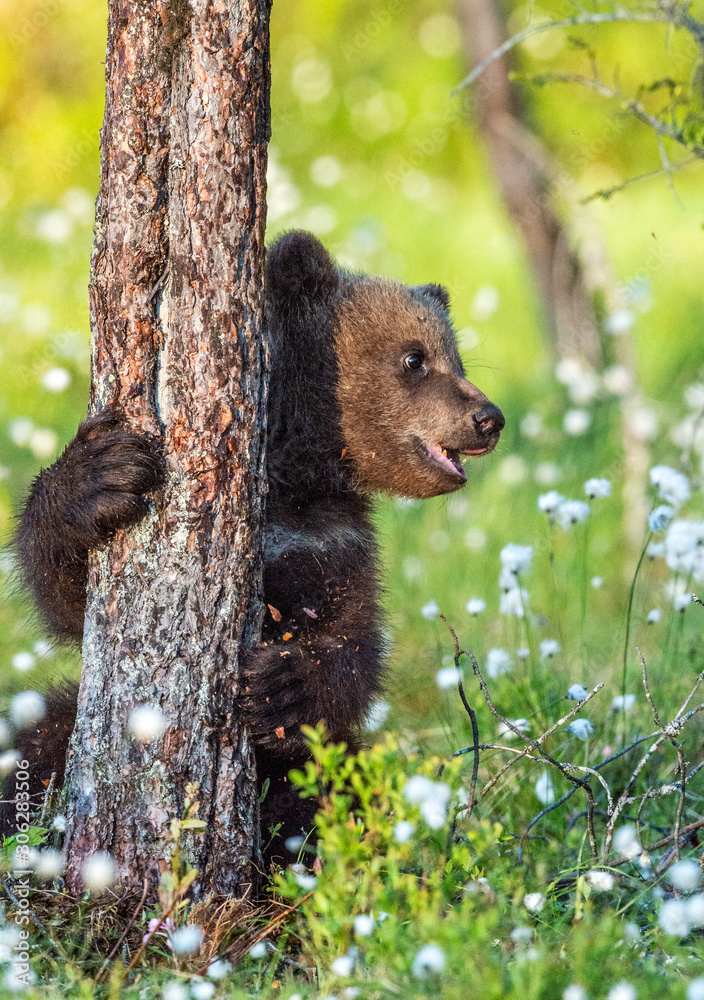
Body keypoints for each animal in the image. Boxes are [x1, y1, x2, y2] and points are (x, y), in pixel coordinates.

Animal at [6, 231, 504, 865]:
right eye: (415, 358)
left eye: (456, 356)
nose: (488, 417)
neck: (294, 473)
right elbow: (70, 597)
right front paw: (100, 474)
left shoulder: (332, 541)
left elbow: (354, 643)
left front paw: (280, 686)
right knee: (38, 740)